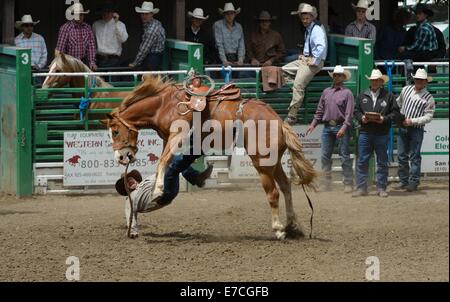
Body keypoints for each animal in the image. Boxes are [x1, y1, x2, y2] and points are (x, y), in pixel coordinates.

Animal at [102, 75, 316, 241]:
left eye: (115, 131)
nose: (120, 157)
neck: (164, 104)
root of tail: (280, 122)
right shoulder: (170, 139)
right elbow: (169, 161)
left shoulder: (177, 134)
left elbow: (163, 161)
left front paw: (157, 190)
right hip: (274, 162)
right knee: (286, 186)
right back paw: (292, 226)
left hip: (262, 163)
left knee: (273, 193)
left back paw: (279, 229)